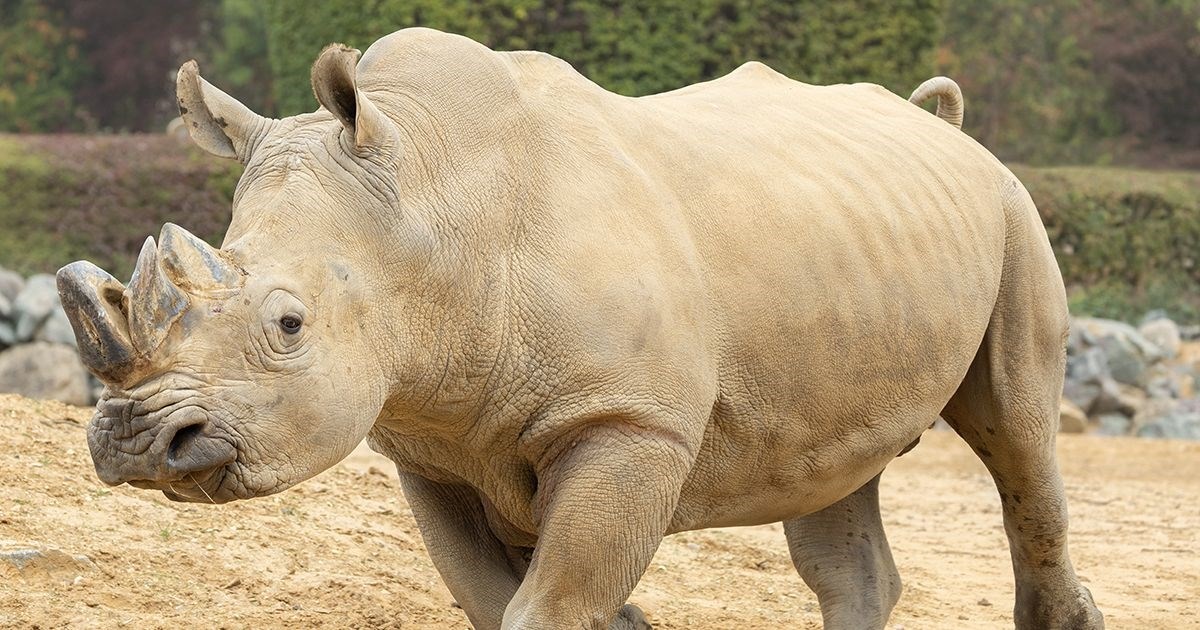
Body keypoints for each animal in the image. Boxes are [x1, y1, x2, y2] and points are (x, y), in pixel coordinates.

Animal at [58, 27, 1104, 624]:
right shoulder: (430, 446)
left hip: (1010, 211)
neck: (433, 210)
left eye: (287, 324)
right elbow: (492, 601)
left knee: (1018, 436)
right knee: (836, 476)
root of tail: (943, 125)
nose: (140, 442)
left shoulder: (629, 423)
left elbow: (549, 604)